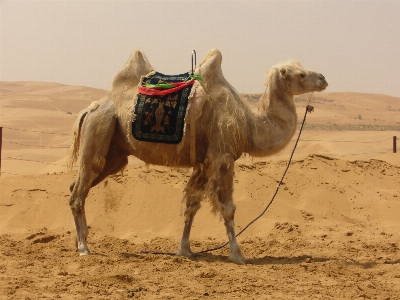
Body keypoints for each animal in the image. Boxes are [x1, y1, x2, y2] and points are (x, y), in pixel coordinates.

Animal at [66, 48, 328, 264]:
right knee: (79, 191)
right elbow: (228, 207)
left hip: (115, 152)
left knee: (77, 187)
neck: (247, 125)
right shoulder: (222, 156)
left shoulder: (203, 162)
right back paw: (83, 248)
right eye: (301, 74)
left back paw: (83, 238)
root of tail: (89, 109)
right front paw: (238, 255)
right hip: (100, 128)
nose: (323, 78)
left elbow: (192, 204)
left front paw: (185, 250)